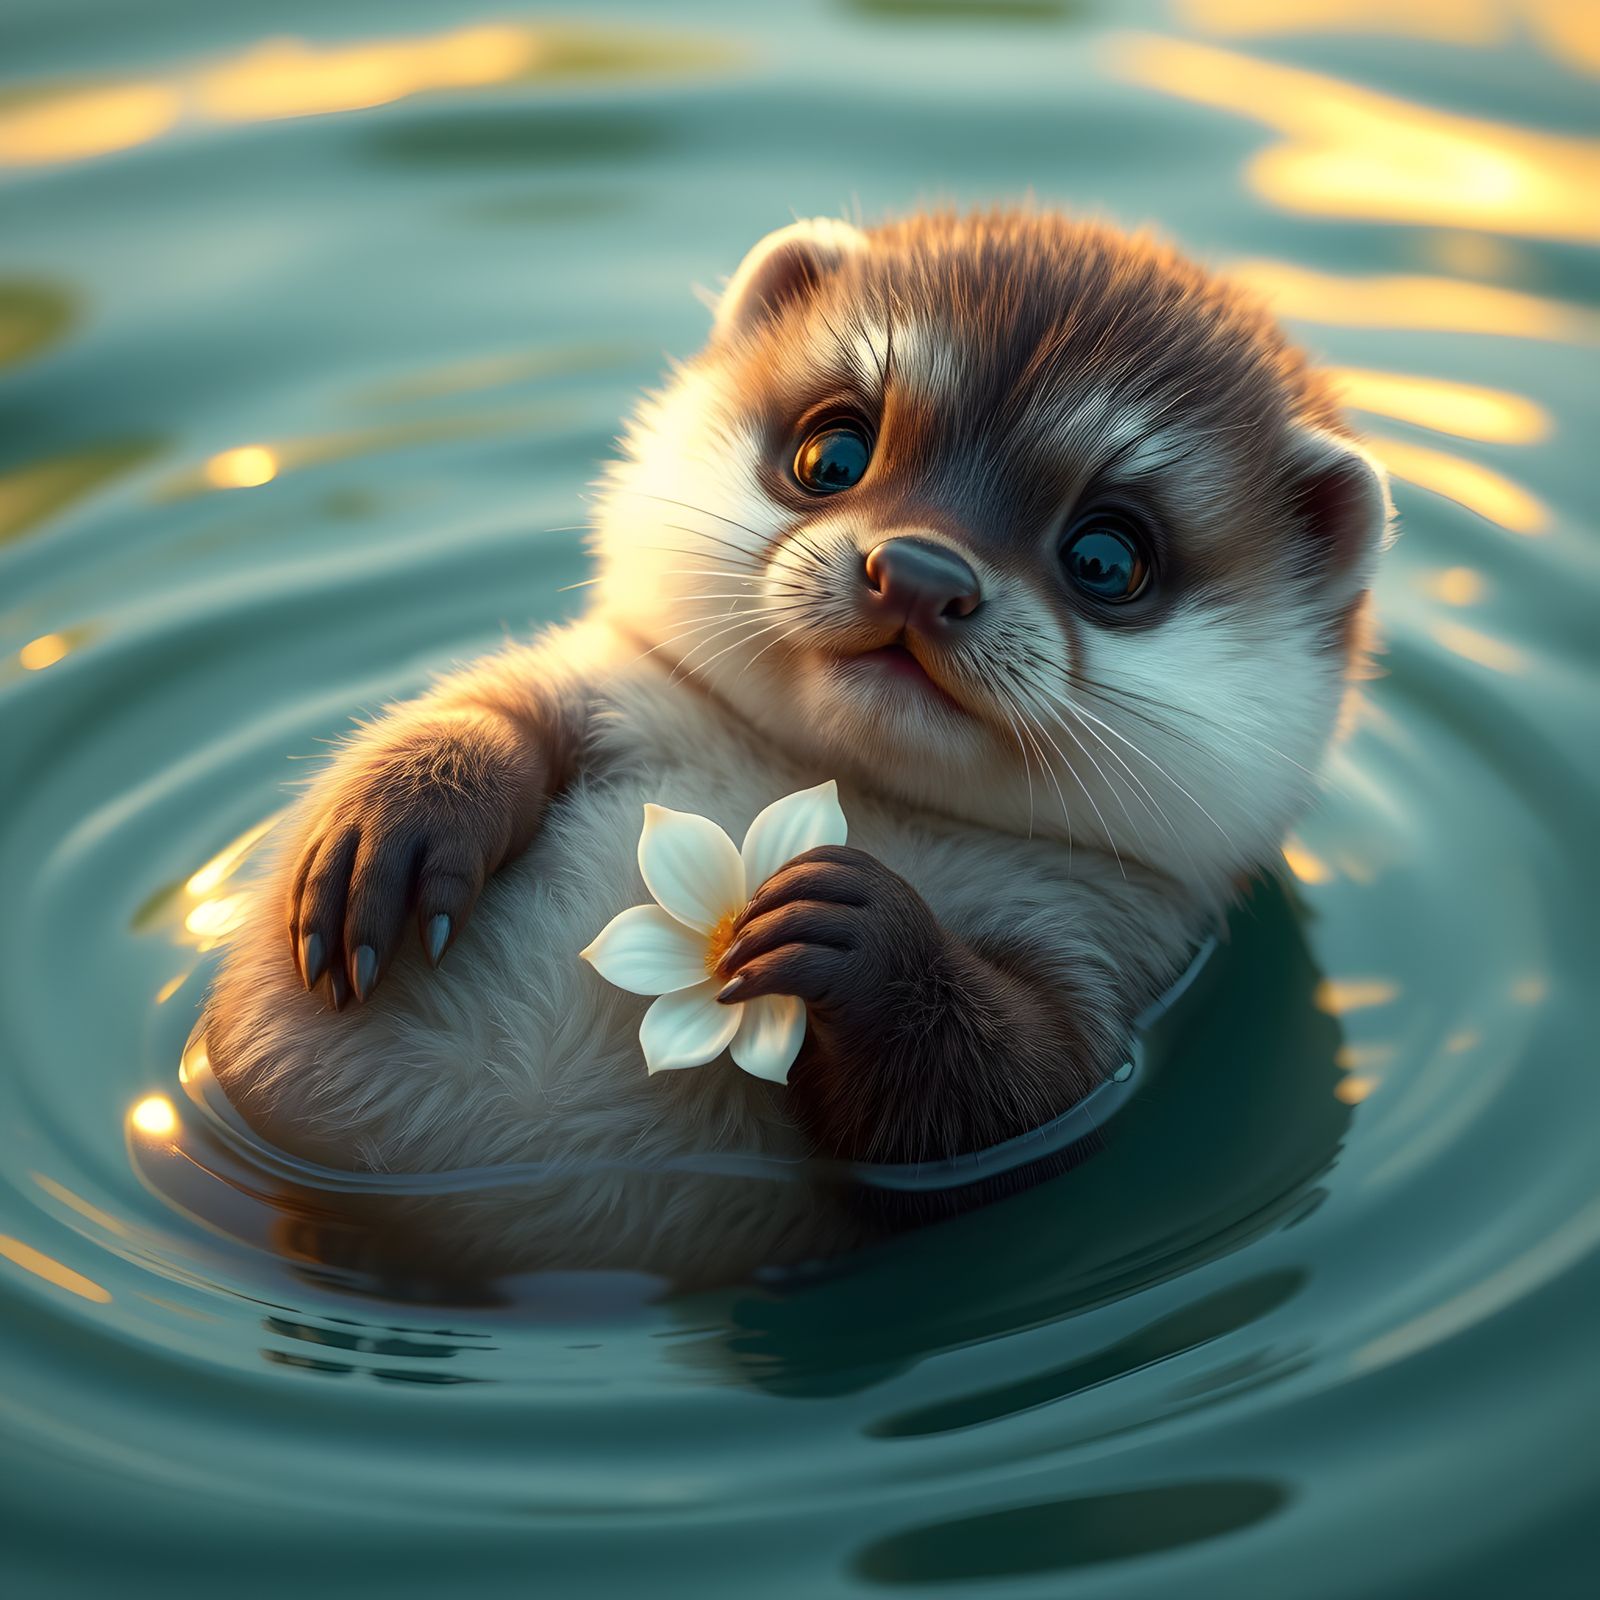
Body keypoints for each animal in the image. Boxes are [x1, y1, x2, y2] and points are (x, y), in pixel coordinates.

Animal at [203, 210, 1389, 1284]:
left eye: (1107, 557)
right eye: (833, 450)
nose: (918, 571)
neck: (822, 786)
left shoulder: (1103, 962)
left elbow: (1003, 1093)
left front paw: (856, 931)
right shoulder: (609, 685)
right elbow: (489, 713)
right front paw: (394, 826)